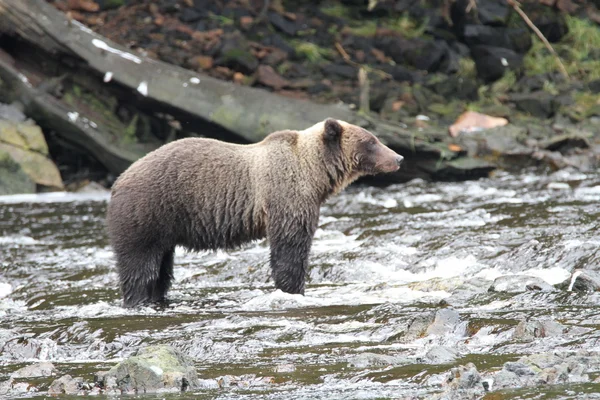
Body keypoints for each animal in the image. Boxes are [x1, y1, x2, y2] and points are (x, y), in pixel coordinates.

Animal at [108, 118, 404, 306]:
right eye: (371, 141)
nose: (398, 158)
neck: (315, 174)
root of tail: (118, 181)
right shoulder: (286, 194)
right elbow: (290, 247)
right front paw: (293, 289)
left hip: (164, 226)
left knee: (161, 268)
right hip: (148, 210)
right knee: (140, 263)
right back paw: (138, 299)